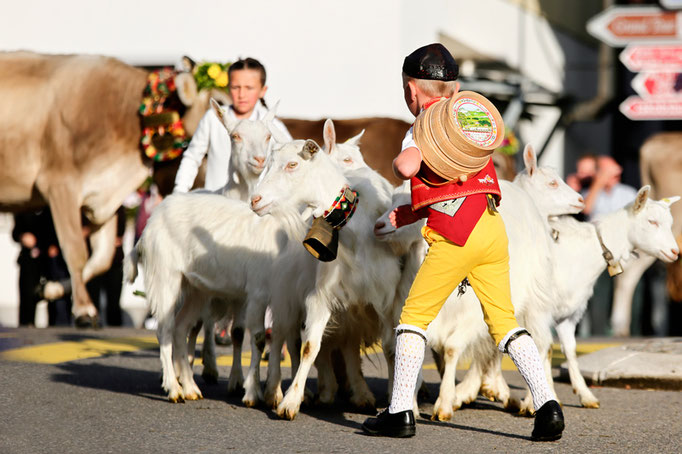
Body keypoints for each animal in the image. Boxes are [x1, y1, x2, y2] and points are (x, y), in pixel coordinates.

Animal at [0, 52, 228, 326]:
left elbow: (102, 259)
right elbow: (75, 250)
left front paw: (50, 289)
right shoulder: (59, 185)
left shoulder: (103, 198)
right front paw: (85, 311)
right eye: (221, 104)